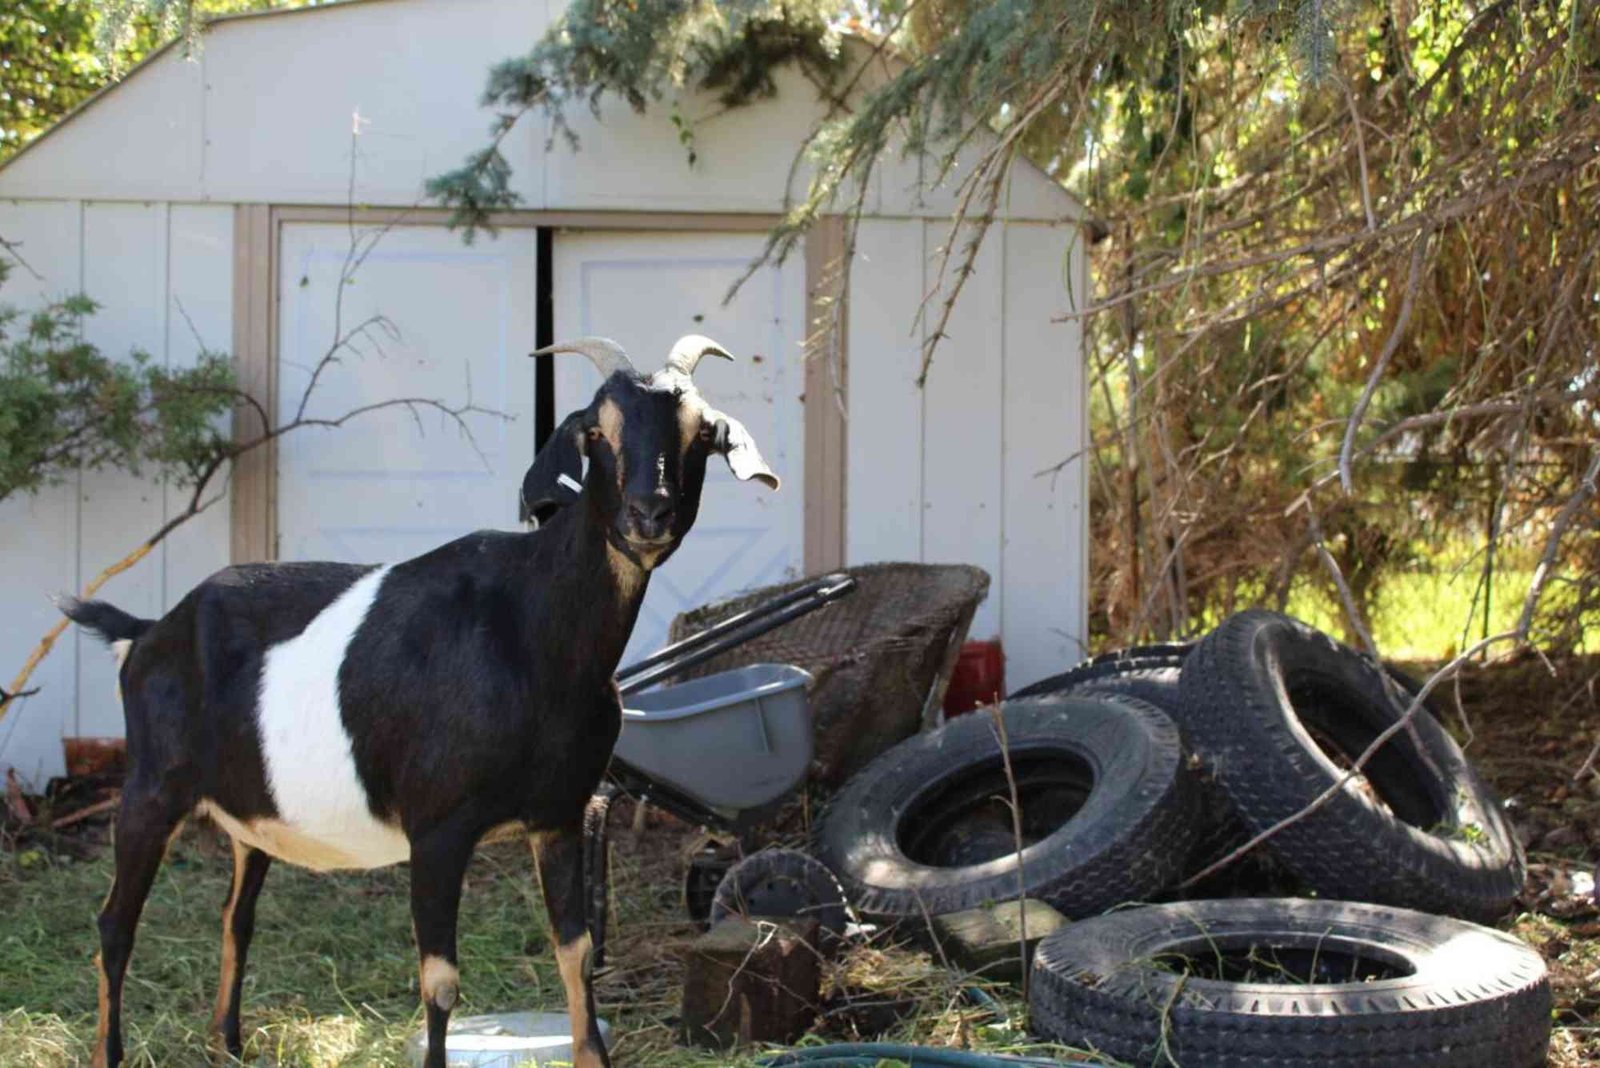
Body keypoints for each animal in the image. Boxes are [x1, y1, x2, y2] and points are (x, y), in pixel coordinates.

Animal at [60, 335, 777, 1068]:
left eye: (700, 433)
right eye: (595, 432)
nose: (649, 514)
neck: (532, 626)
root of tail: (147, 632)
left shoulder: (558, 815)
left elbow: (575, 957)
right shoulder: (437, 827)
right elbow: (440, 982)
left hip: (249, 812)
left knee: (237, 918)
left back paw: (228, 1043)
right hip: (150, 787)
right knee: (114, 924)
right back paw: (110, 1051)